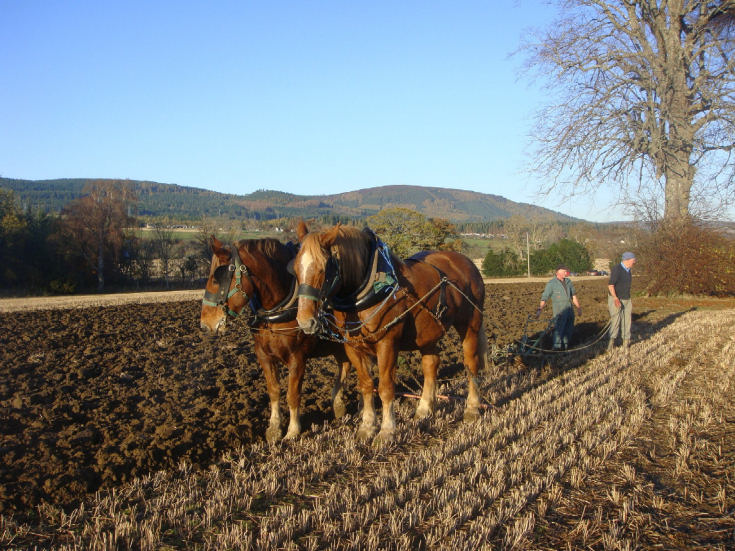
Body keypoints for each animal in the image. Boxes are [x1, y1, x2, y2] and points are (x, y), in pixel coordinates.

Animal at [200, 235, 359, 444]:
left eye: (216, 279)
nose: (205, 324)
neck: (279, 306)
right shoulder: (264, 356)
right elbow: (274, 391)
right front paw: (274, 428)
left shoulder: (297, 359)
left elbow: (293, 394)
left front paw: (292, 431)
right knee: (344, 366)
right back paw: (338, 404)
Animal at [292, 221, 488, 444]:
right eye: (295, 269)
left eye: (324, 269)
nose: (305, 321)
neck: (370, 287)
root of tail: (466, 262)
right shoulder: (353, 348)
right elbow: (366, 386)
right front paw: (367, 427)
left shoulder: (387, 344)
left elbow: (386, 388)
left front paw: (386, 431)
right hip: (429, 333)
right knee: (431, 365)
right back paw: (424, 409)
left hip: (470, 325)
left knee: (470, 364)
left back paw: (472, 409)